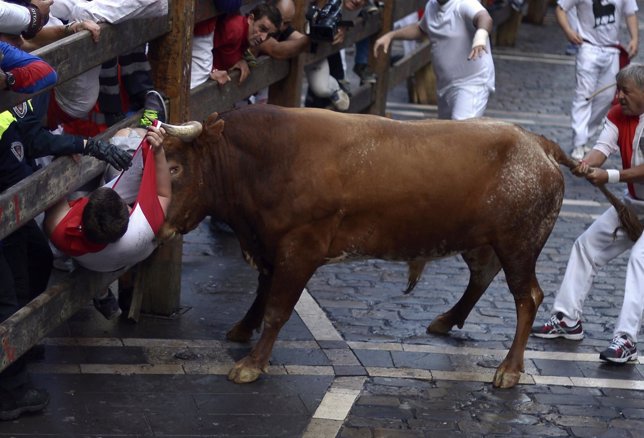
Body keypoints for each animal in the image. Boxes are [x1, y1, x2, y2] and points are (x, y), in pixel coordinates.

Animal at [158, 104, 576, 388]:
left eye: (175, 168)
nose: (157, 225)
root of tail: (536, 142)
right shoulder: (268, 244)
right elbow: (262, 292)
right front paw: (243, 328)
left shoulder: (300, 247)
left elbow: (278, 307)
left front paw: (252, 364)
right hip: (483, 241)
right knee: (482, 277)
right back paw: (446, 320)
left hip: (519, 244)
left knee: (527, 297)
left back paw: (509, 370)